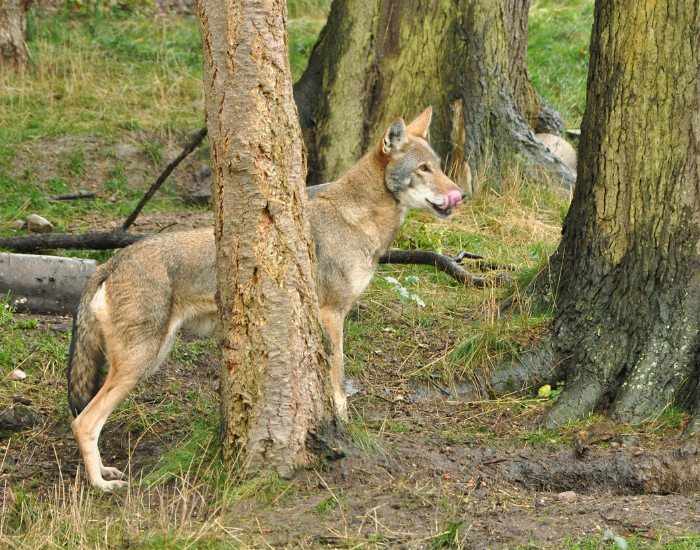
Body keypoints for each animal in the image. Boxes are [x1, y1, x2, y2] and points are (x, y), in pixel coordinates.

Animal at [67, 107, 466, 490]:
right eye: (423, 169)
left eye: (439, 166)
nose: (460, 195)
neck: (357, 221)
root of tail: (111, 262)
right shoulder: (331, 314)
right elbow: (338, 379)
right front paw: (341, 421)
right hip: (140, 363)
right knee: (84, 422)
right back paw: (100, 485)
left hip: (148, 360)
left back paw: (103, 472)